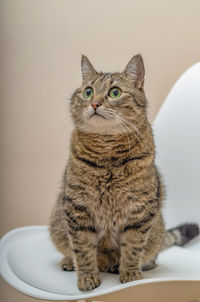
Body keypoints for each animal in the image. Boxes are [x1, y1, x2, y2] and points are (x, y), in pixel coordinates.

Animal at [49, 54, 198, 290]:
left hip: (157, 227)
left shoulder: (140, 210)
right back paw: (69, 261)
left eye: (115, 92)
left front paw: (130, 273)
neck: (107, 152)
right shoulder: (77, 208)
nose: (94, 103)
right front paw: (86, 277)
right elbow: (82, 249)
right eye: (88, 91)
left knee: (152, 251)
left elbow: (133, 247)